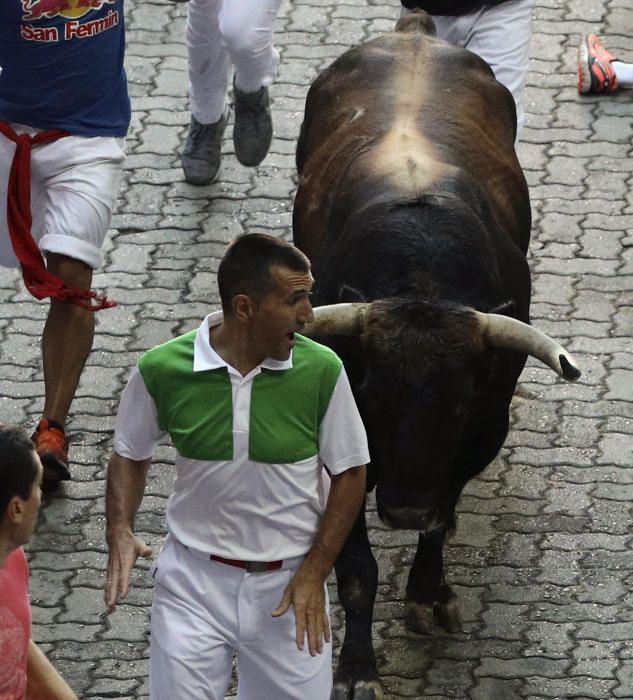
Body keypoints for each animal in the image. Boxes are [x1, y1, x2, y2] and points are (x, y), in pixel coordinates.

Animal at [294, 12, 580, 700]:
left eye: (457, 406)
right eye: (372, 399)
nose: (402, 508)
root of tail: (414, 32)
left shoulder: (481, 434)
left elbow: (441, 520)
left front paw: (428, 593)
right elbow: (357, 567)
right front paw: (358, 669)